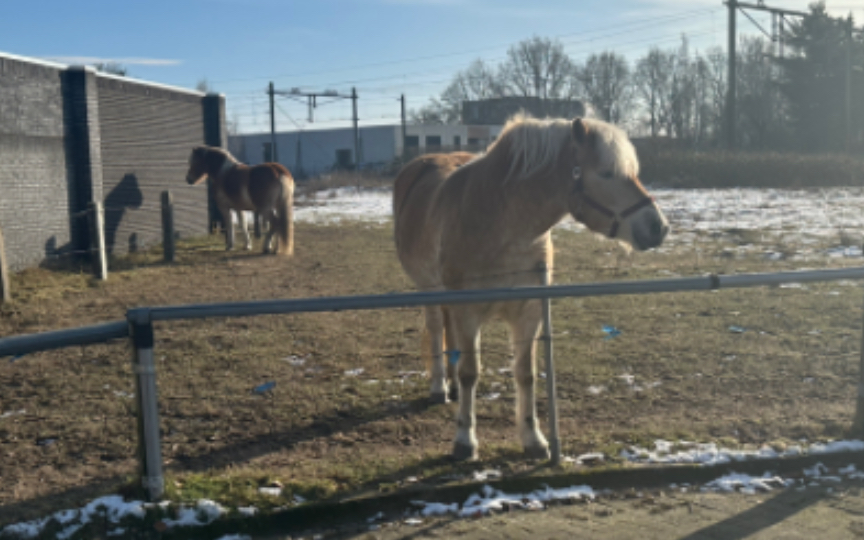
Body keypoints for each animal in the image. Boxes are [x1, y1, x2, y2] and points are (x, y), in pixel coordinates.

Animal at [392, 114, 668, 460]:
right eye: (606, 173)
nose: (658, 227)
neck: (500, 224)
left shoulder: (530, 312)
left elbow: (525, 373)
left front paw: (533, 438)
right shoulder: (468, 312)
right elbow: (471, 372)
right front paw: (465, 440)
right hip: (430, 291)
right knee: (436, 329)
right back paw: (440, 387)